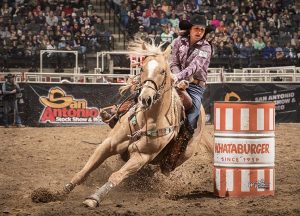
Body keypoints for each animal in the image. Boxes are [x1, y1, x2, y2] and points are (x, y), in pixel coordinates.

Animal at [64, 40, 212, 208]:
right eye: (141, 68)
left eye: (163, 71)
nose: (145, 98)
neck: (145, 120)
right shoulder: (108, 144)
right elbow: (85, 170)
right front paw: (62, 191)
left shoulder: (141, 156)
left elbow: (116, 176)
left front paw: (94, 198)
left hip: (182, 155)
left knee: (162, 167)